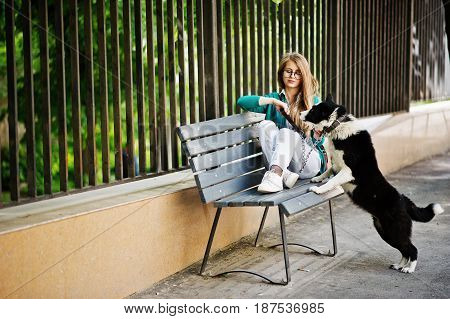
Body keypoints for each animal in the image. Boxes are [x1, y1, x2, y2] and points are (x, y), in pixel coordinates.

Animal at [300, 94, 444, 274]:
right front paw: (317, 179)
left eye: (313, 110)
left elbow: (332, 180)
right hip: (386, 232)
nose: (299, 113)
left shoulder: (348, 171)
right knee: (405, 250)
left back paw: (409, 269)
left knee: (412, 249)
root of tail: (404, 201)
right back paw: (399, 265)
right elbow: (328, 171)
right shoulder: (336, 166)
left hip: (394, 230)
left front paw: (319, 190)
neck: (339, 125)